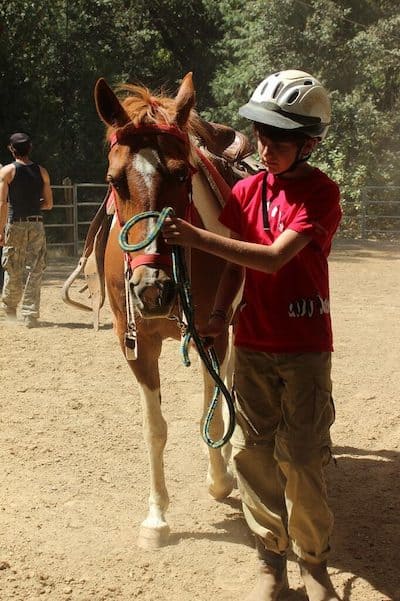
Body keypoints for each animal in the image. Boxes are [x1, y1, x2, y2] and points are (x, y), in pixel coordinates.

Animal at [92, 72, 247, 548]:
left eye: (182, 175)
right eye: (115, 180)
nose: (152, 288)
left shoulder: (212, 333)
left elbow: (212, 418)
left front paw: (220, 481)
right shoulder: (137, 345)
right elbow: (154, 429)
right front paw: (157, 518)